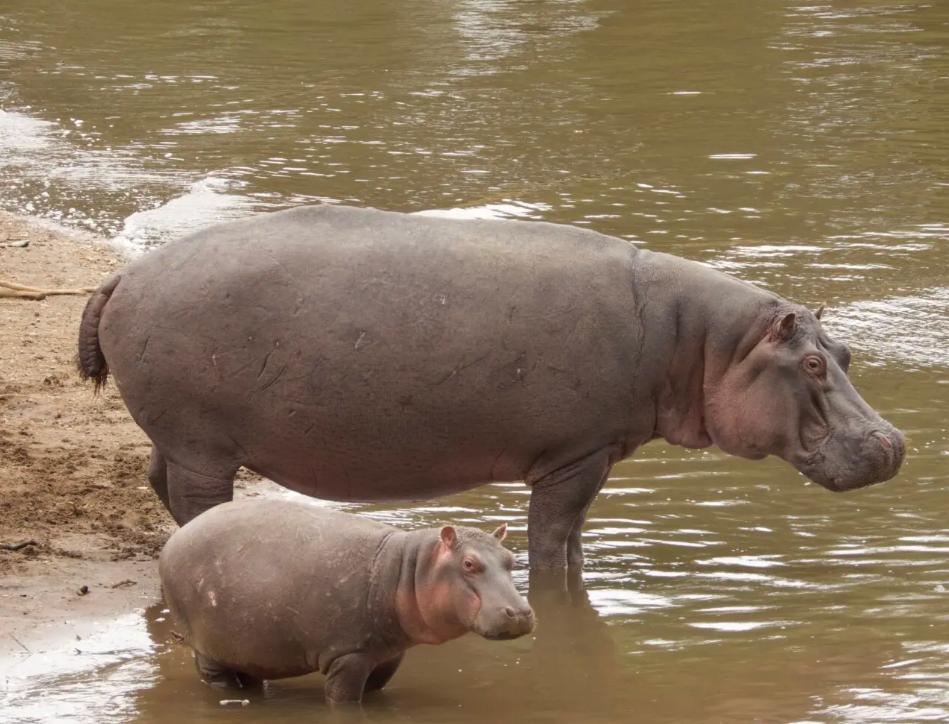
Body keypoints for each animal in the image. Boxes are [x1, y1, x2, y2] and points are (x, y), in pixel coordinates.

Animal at [79, 205, 905, 570]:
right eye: (809, 366)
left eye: (846, 351)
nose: (894, 443)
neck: (704, 341)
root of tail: (123, 276)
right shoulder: (576, 455)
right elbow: (554, 538)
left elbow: (571, 542)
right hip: (203, 448)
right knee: (194, 501)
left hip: (180, 438)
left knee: (155, 477)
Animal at [160, 499, 533, 704]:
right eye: (468, 563)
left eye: (510, 559)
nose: (519, 613)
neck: (409, 568)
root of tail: (173, 539)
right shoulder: (348, 654)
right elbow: (344, 700)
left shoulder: (387, 653)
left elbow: (376, 691)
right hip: (206, 645)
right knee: (214, 677)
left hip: (247, 644)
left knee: (249, 676)